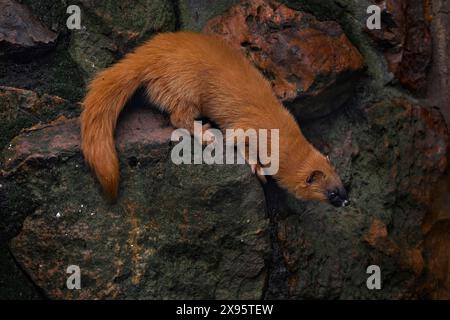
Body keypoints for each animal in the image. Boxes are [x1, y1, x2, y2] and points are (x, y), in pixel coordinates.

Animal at [80, 31, 348, 208]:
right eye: (332, 193)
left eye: (343, 184)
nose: (346, 201)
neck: (276, 124)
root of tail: (152, 49)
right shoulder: (245, 128)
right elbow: (239, 142)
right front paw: (258, 169)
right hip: (185, 87)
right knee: (178, 117)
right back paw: (206, 133)